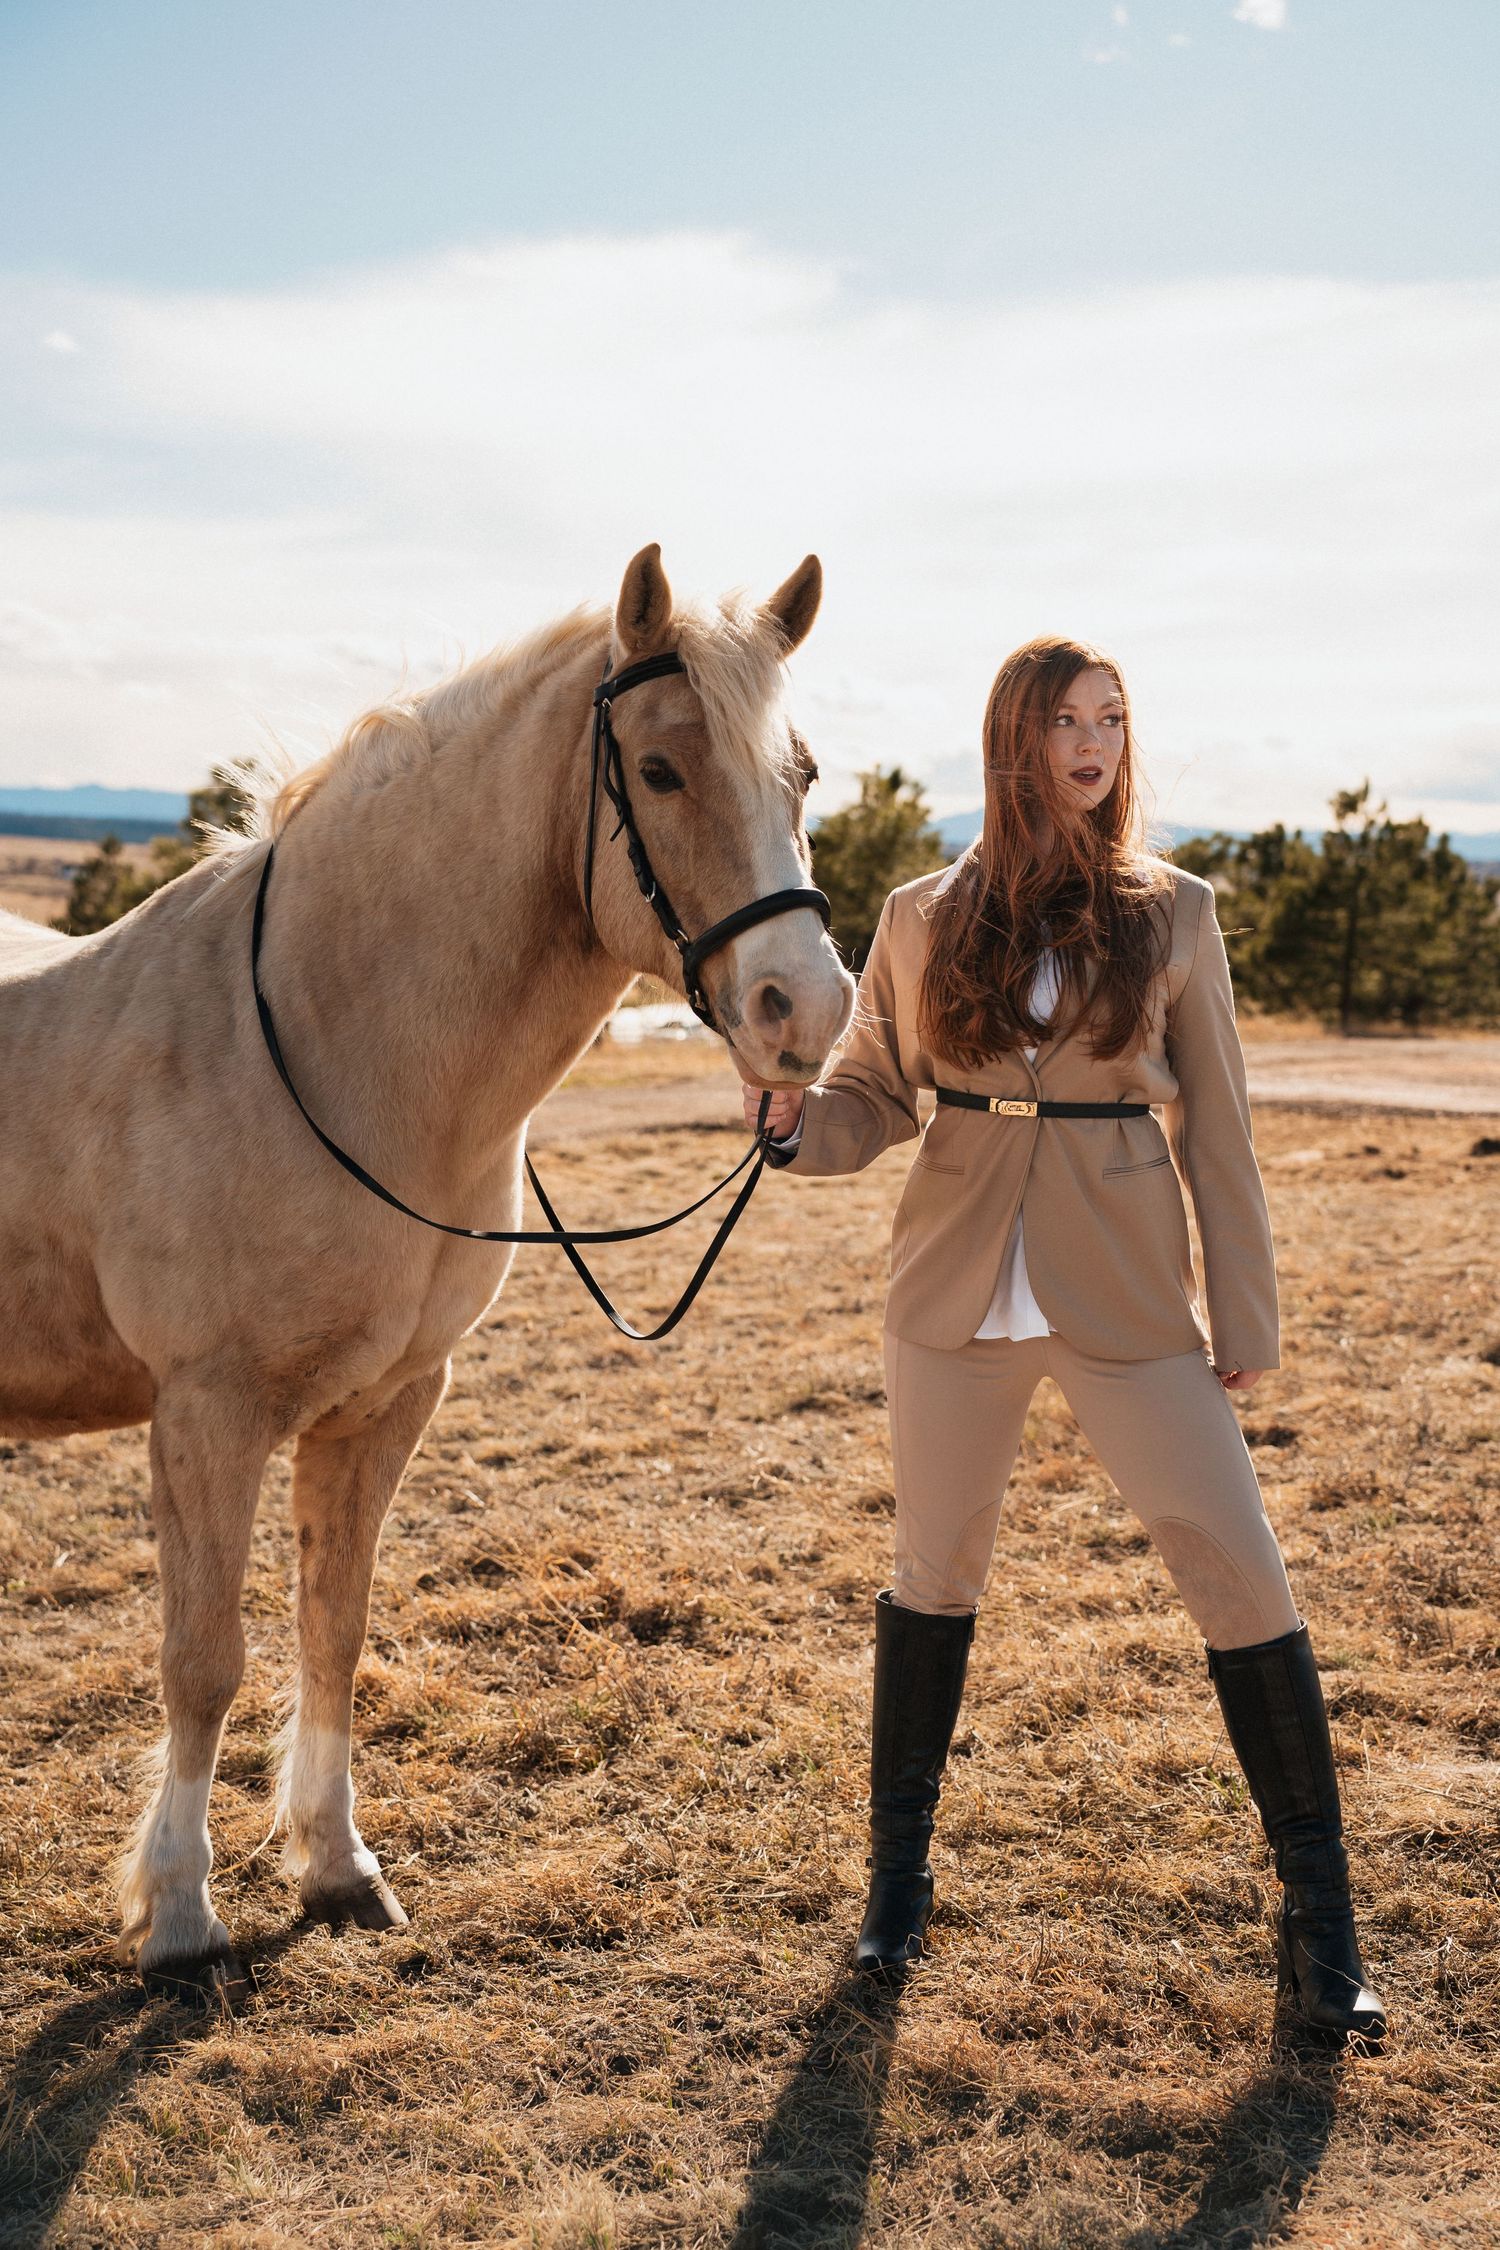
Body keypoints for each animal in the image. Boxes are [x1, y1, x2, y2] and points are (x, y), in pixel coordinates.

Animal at [0, 544, 854, 1995]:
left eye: (800, 774)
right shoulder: (208, 1411)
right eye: (662, 769)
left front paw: (336, 1864)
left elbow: (332, 1627)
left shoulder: (386, 1405)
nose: (807, 1010)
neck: (325, 1044)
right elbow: (202, 1658)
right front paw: (178, 1912)